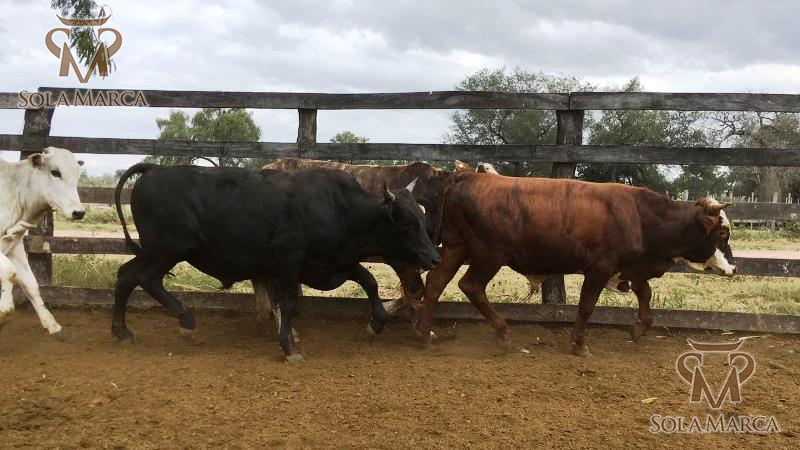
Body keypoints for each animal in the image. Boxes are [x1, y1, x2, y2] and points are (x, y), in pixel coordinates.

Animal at [0, 147, 85, 338]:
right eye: (55, 172)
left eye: (77, 175)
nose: (78, 212)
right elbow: (10, 272)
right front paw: (4, 310)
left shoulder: (14, 247)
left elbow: (31, 284)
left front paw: (53, 326)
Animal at [112, 164, 439, 361]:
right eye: (408, 222)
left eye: (421, 216)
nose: (434, 257)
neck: (338, 207)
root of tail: (155, 169)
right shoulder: (288, 261)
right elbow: (290, 302)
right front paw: (289, 347)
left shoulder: (334, 262)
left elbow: (369, 282)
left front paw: (377, 323)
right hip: (165, 250)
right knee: (143, 278)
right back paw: (185, 321)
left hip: (157, 251)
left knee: (126, 276)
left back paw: (122, 332)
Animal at [418, 171, 735, 357]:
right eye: (722, 232)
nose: (733, 267)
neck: (640, 216)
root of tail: (466, 176)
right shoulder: (600, 268)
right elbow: (586, 306)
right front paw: (580, 343)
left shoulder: (631, 267)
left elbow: (645, 293)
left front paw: (639, 327)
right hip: (488, 255)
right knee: (470, 286)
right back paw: (501, 332)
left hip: (456, 247)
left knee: (435, 282)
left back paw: (427, 335)